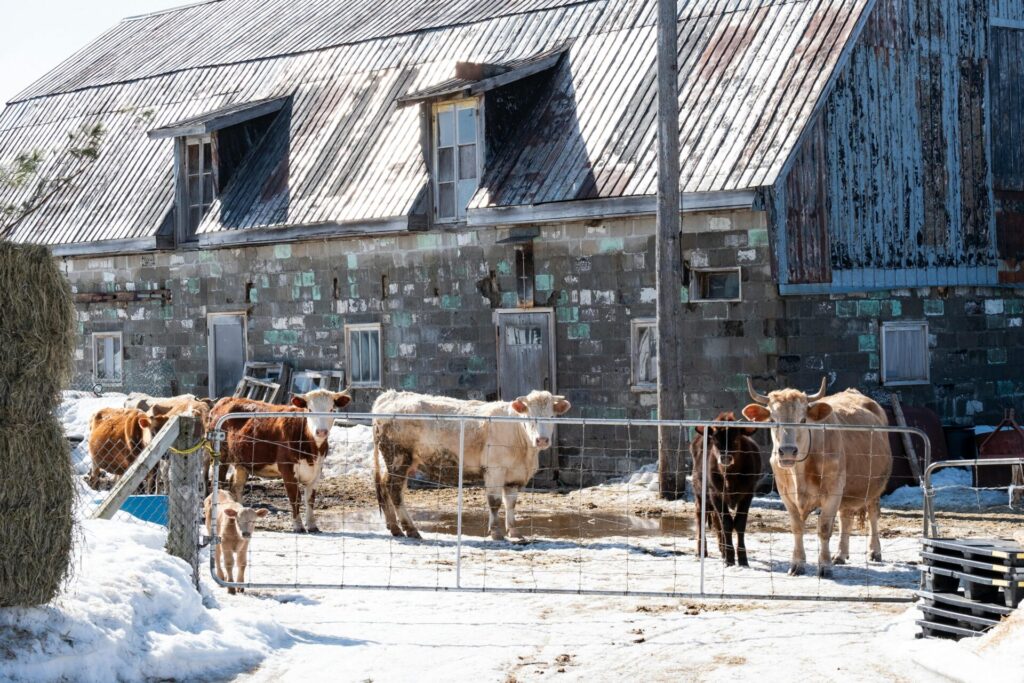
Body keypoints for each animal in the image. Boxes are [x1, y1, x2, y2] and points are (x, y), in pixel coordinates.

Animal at [209, 390, 351, 533]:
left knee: (236, 486)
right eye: (310, 410)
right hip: (221, 456)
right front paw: (298, 526)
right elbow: (295, 498)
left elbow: (310, 499)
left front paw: (312, 526)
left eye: (331, 409)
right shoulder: (287, 469)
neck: (311, 450)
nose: (321, 432)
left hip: (241, 462)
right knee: (220, 483)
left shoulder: (317, 470)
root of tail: (227, 399)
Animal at [372, 390, 572, 541]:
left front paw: (514, 532)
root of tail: (390, 395)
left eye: (552, 416)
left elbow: (511, 503)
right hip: (398, 458)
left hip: (400, 463)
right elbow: (495, 502)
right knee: (395, 490)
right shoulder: (494, 470)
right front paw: (496, 533)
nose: (542, 440)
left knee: (386, 487)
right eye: (529, 417)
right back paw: (410, 529)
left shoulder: (514, 476)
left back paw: (395, 528)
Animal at [691, 412, 762, 567]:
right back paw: (701, 550)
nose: (725, 458)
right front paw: (729, 558)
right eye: (715, 439)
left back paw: (722, 548)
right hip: (700, 493)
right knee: (701, 516)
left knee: (716, 520)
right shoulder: (715, 494)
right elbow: (727, 523)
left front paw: (742, 558)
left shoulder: (748, 494)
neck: (730, 477)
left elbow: (739, 523)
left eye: (736, 438)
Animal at [742, 377, 893, 578]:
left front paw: (825, 566)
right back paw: (840, 554)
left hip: (874, 485)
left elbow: (824, 528)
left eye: (803, 420)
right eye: (773, 420)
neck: (799, 473)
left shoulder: (833, 492)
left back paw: (874, 551)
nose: (787, 452)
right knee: (846, 518)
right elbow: (797, 527)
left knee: (873, 514)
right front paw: (797, 564)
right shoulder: (786, 494)